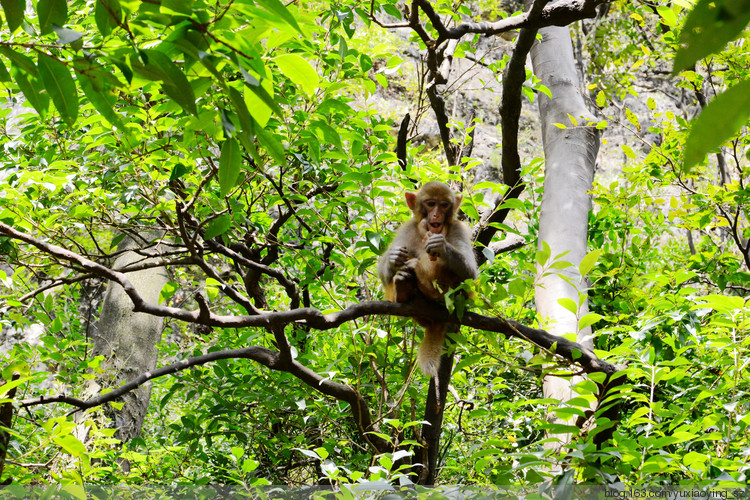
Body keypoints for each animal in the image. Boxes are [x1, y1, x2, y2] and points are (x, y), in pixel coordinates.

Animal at [378, 182, 478, 376]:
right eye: (431, 203)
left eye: (444, 205)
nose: (436, 215)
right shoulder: (408, 228)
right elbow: (384, 277)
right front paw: (394, 258)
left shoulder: (458, 229)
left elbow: (471, 274)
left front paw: (441, 245)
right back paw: (403, 289)